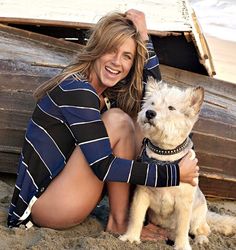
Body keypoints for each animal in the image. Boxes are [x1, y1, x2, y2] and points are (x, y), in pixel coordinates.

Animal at [120, 77, 236, 249]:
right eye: (152, 103)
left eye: (171, 108)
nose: (149, 113)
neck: (164, 157)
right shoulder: (141, 195)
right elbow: (136, 217)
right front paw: (131, 237)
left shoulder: (184, 204)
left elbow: (182, 228)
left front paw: (182, 246)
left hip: (197, 217)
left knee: (202, 229)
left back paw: (201, 240)